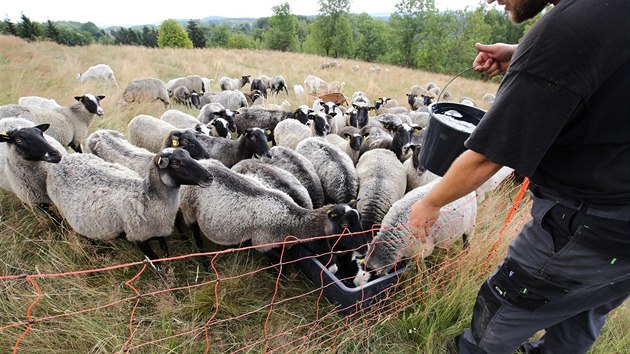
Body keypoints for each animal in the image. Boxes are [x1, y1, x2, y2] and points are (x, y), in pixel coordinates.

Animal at [47, 147, 215, 260]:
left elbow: (165, 252)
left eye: (189, 155)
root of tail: (63, 160)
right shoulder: (138, 237)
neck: (149, 199)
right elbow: (156, 263)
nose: (209, 177)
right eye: (175, 163)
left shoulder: (159, 231)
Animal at [180, 158, 366, 272]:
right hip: (188, 210)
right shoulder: (262, 243)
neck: (293, 221)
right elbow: (281, 262)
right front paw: (277, 274)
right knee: (196, 235)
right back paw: (204, 263)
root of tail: (202, 161)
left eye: (359, 219)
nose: (365, 249)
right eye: (344, 226)